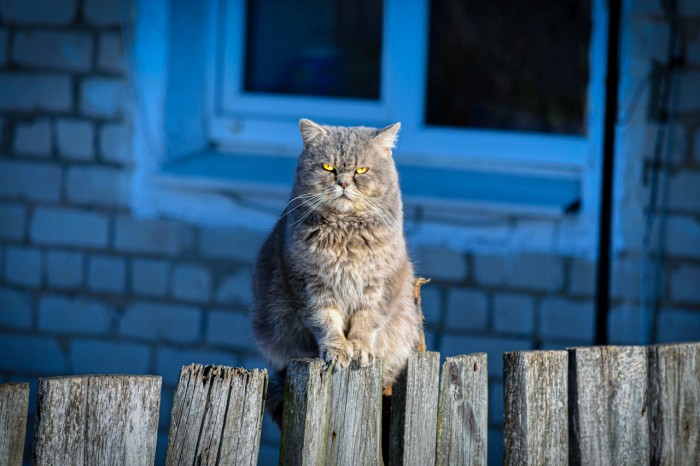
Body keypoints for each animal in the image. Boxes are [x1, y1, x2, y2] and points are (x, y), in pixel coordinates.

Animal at [254, 117, 424, 422]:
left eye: (361, 170)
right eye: (328, 167)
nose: (343, 182)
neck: (345, 232)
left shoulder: (378, 287)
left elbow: (367, 321)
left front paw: (358, 347)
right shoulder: (310, 285)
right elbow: (325, 321)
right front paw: (337, 349)